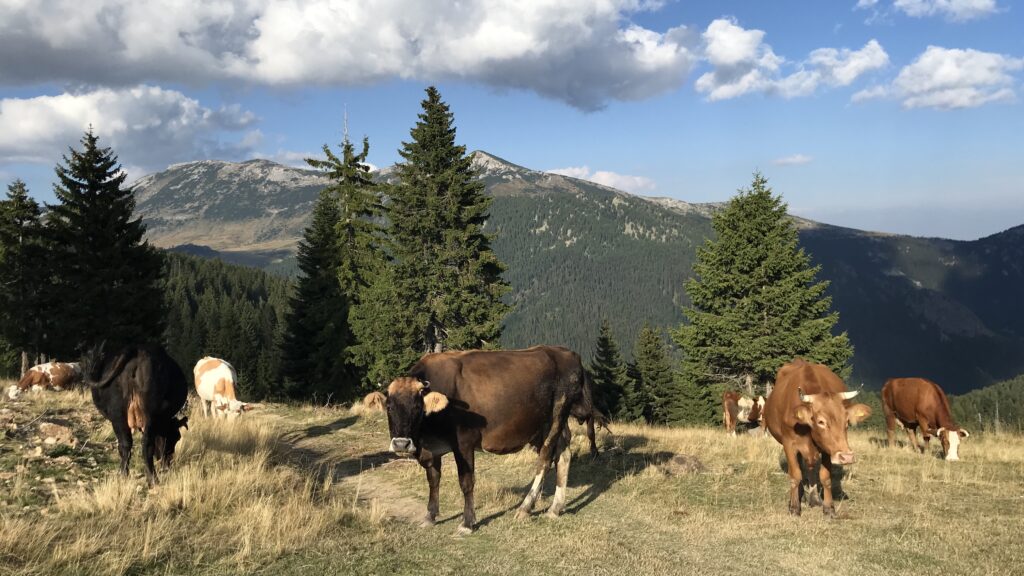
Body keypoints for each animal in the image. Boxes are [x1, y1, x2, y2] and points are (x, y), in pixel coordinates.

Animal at [385, 342, 598, 532]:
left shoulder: (463, 442)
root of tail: (567, 353)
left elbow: (466, 482)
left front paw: (467, 523)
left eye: (417, 406)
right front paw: (430, 516)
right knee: (563, 455)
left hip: (557, 414)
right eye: (389, 407)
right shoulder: (431, 447)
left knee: (545, 460)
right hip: (545, 424)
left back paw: (525, 508)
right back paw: (555, 508)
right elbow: (433, 479)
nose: (401, 444)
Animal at [765, 358, 868, 516]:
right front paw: (794, 507)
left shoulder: (827, 449)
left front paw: (829, 507)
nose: (847, 457)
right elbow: (795, 475)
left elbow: (825, 477)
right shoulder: (789, 444)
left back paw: (813, 499)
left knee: (810, 467)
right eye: (821, 421)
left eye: (846, 422)